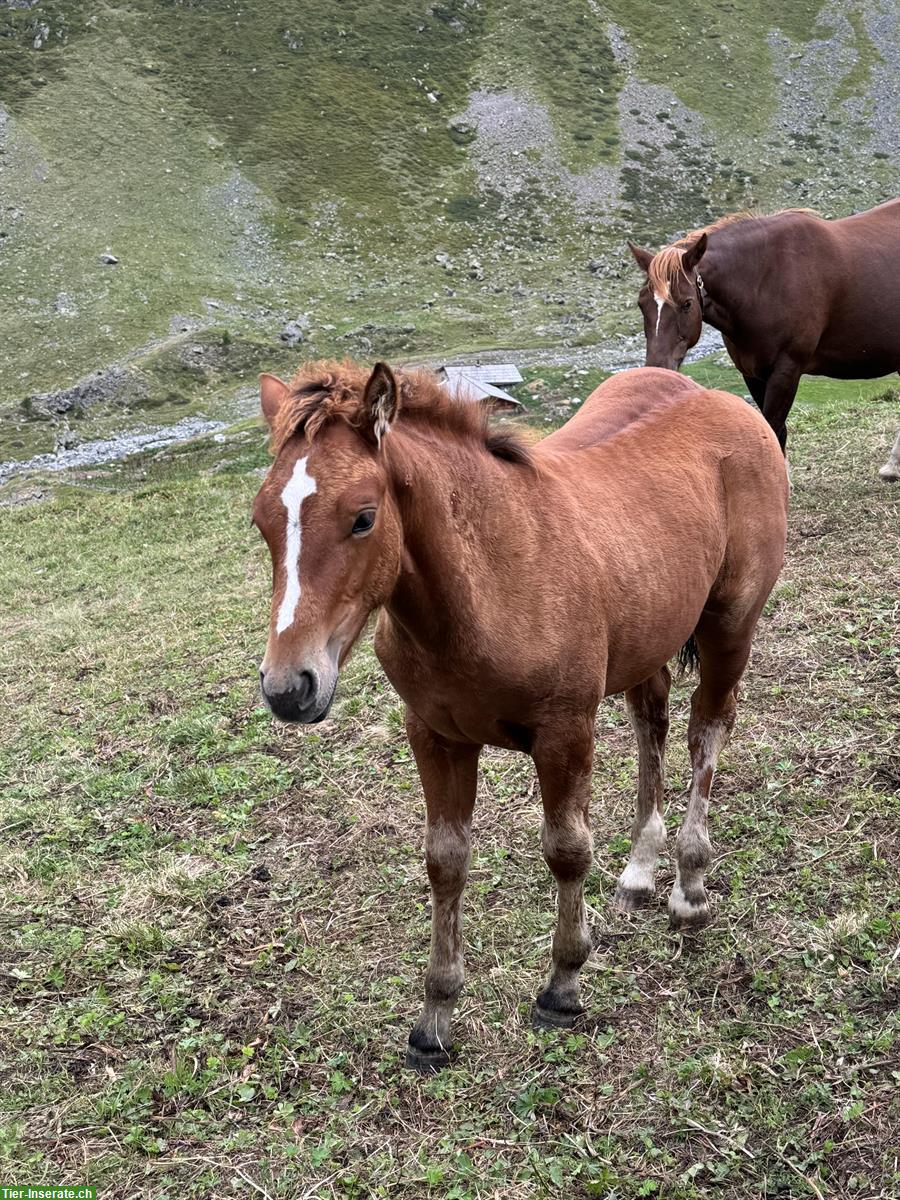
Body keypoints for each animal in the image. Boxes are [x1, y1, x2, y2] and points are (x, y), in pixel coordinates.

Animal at [252, 360, 787, 1075]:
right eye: (260, 521)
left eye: (363, 518)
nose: (289, 688)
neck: (490, 580)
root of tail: (717, 397)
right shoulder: (434, 735)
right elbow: (445, 861)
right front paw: (434, 1019)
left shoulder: (565, 731)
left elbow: (566, 850)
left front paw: (562, 985)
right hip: (648, 634)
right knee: (653, 721)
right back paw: (640, 872)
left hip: (731, 627)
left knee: (708, 731)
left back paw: (689, 887)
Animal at [628, 199, 900, 465]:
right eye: (641, 304)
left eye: (686, 303)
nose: (657, 370)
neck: (765, 281)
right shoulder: (752, 373)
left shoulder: (786, 370)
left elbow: (773, 429)